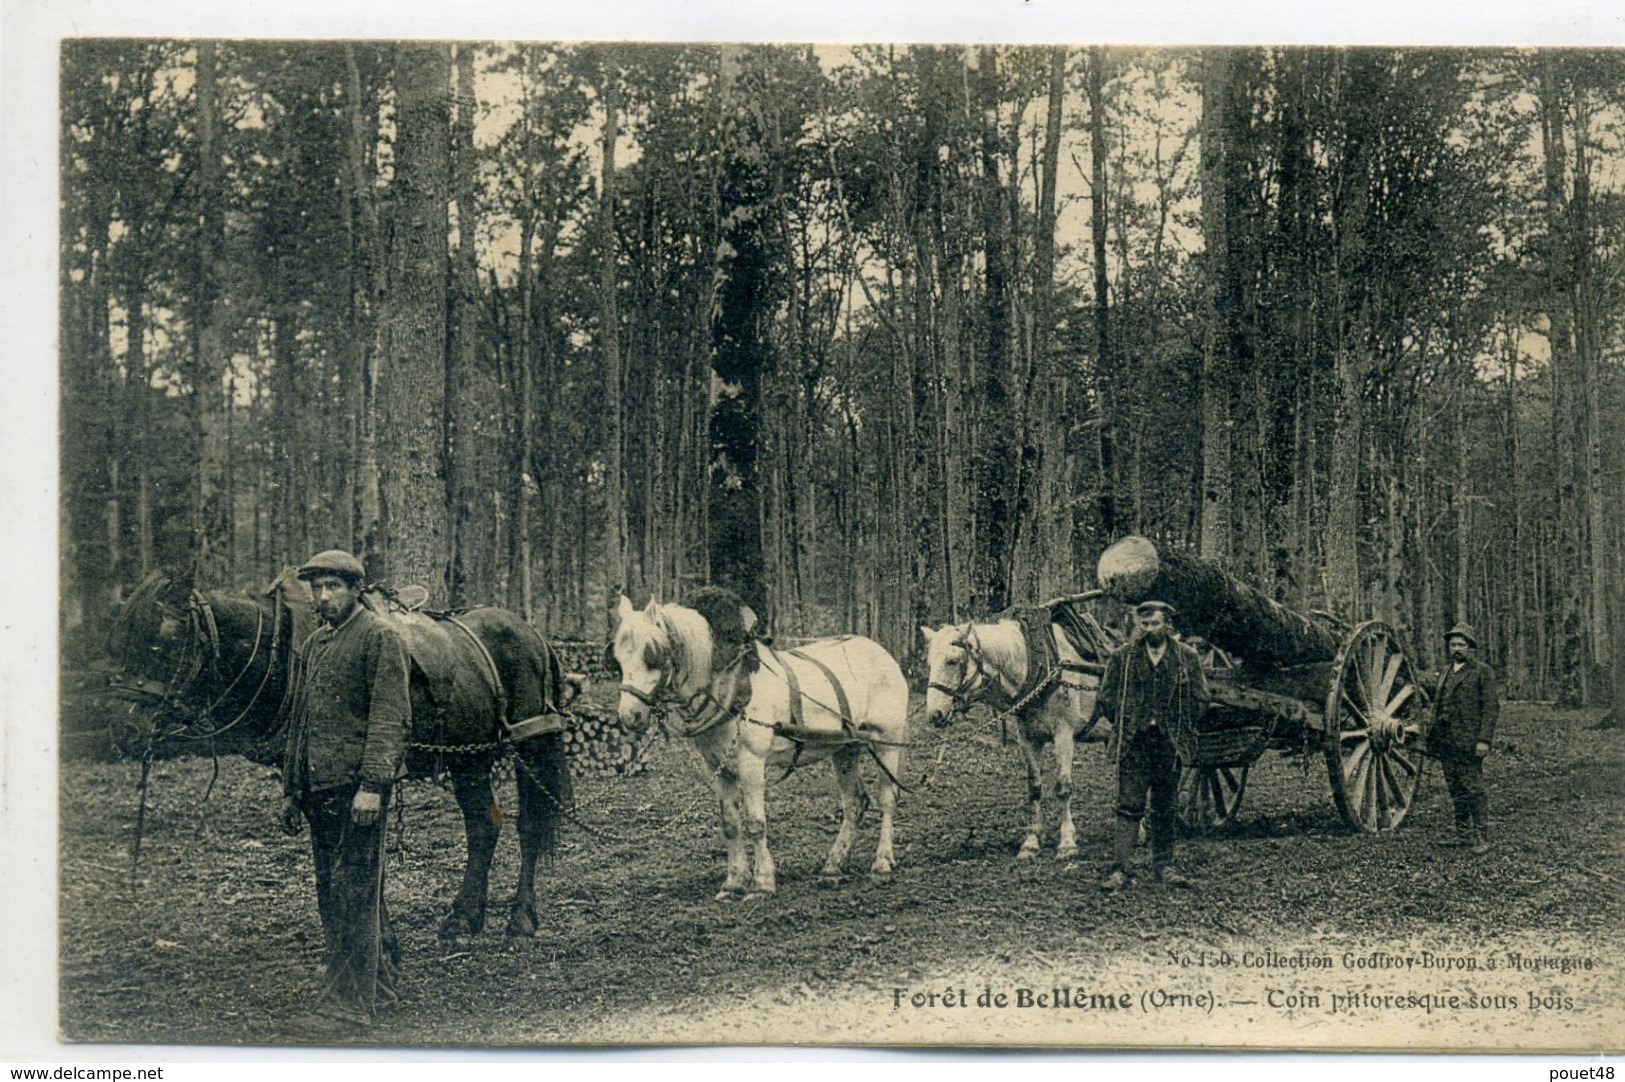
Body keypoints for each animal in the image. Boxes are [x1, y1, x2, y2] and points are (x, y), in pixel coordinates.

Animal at [106, 571, 572, 935]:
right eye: (121, 640)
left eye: (162, 642)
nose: (124, 728)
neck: (284, 650)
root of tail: (534, 633)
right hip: (467, 756)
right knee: (484, 826)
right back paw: (464, 918)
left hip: (531, 744)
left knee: (530, 824)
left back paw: (521, 918)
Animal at [611, 591, 910, 890]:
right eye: (618, 659)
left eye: (653, 657)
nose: (629, 716)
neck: (730, 684)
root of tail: (883, 653)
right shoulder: (717, 766)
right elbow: (731, 825)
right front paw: (734, 882)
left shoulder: (751, 761)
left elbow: (756, 823)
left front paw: (763, 882)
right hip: (846, 748)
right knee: (855, 803)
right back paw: (832, 866)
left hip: (886, 740)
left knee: (887, 799)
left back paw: (882, 862)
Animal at [923, 614, 1111, 857]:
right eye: (929, 664)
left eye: (952, 661)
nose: (934, 715)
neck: (1041, 666)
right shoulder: (1028, 739)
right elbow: (1034, 789)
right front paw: (1031, 842)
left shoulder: (1064, 735)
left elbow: (1063, 788)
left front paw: (1067, 842)